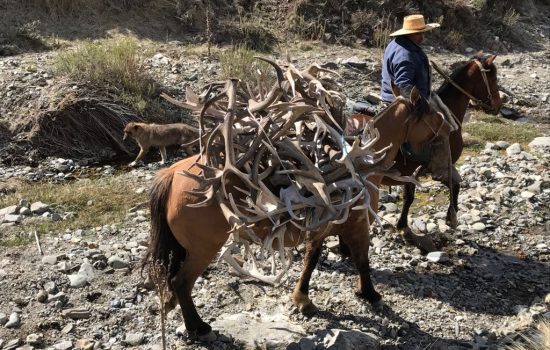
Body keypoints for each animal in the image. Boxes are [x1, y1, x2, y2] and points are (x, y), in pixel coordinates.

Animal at [144, 88, 450, 342]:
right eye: (434, 117)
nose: (450, 133)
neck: (362, 163)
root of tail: (171, 175)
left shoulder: (322, 228)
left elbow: (311, 260)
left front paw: (302, 298)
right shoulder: (357, 224)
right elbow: (362, 260)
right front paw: (369, 293)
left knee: (176, 283)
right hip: (203, 249)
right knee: (181, 283)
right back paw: (199, 327)